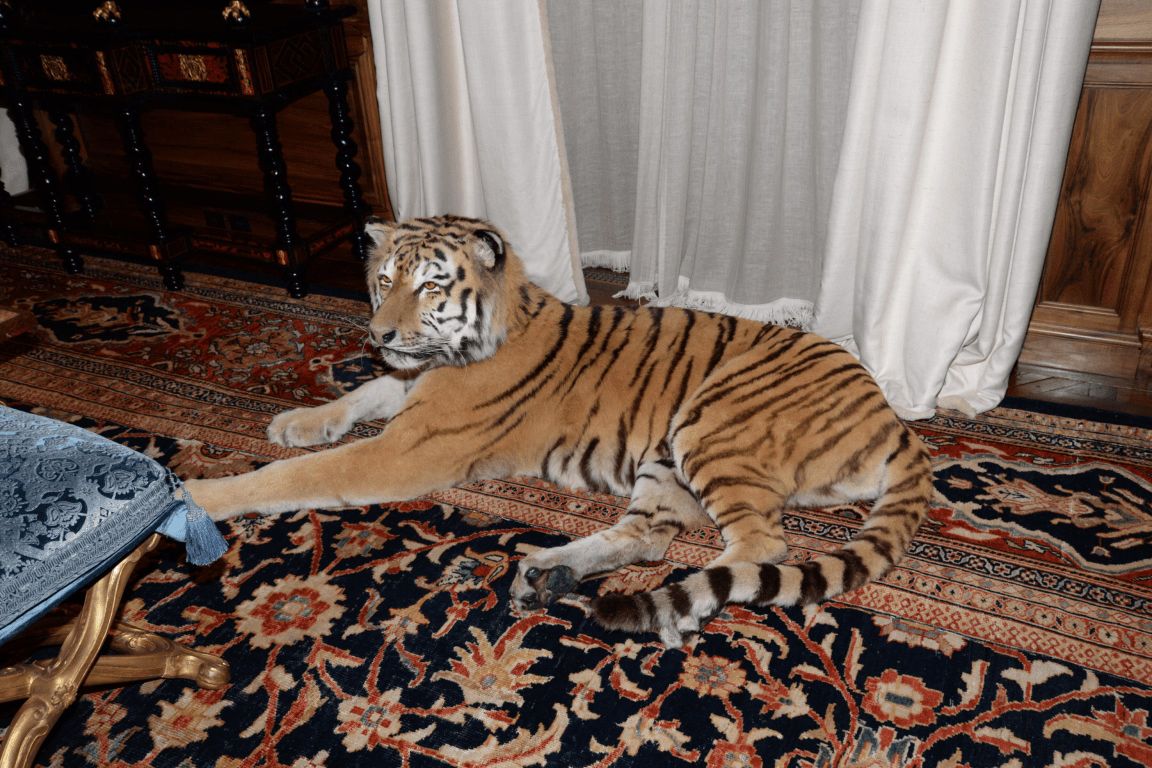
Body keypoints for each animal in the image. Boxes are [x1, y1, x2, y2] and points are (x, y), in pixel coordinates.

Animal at [185, 214, 934, 646]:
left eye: (430, 286)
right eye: (384, 280)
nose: (379, 334)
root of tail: (892, 419)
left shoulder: (405, 450)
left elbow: (292, 477)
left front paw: (195, 497)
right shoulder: (408, 392)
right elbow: (365, 391)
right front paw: (295, 421)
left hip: (712, 423)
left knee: (761, 547)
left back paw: (676, 607)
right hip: (665, 460)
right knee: (649, 536)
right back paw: (548, 573)